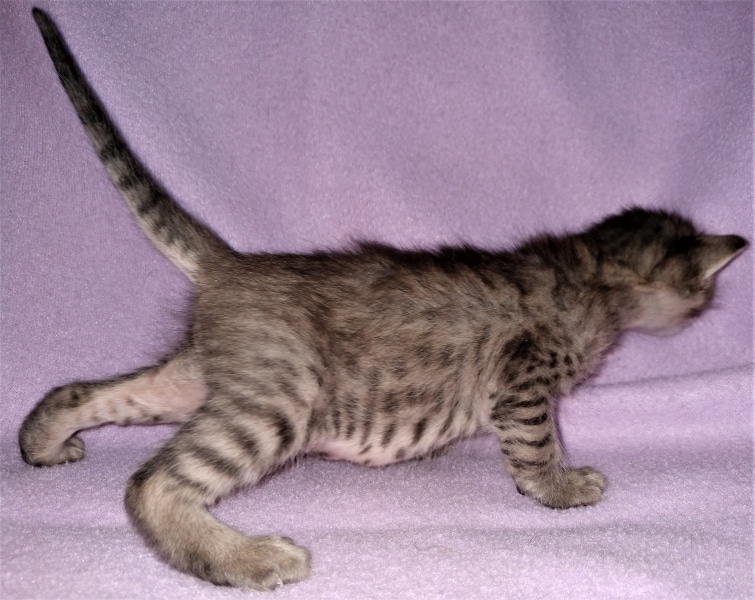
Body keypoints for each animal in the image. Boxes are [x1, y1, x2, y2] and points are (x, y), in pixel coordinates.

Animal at [20, 8, 747, 591]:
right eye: (698, 295)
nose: (705, 309)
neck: (589, 268)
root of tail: (236, 263)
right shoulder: (522, 380)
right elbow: (537, 444)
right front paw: (561, 487)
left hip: (204, 378)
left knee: (79, 390)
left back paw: (42, 443)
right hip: (281, 393)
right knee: (153, 483)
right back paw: (250, 559)